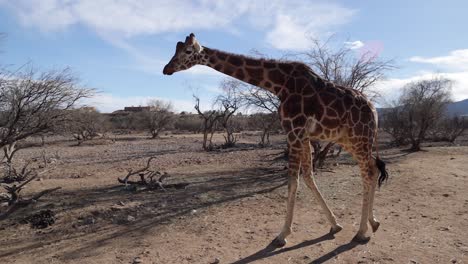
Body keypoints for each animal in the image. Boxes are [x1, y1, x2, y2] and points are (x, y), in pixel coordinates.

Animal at [163, 34, 390, 246]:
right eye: (176, 49)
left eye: (187, 52)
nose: (167, 69)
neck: (279, 84)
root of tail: (374, 112)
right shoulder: (303, 136)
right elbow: (308, 177)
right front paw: (335, 225)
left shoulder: (294, 132)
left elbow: (293, 182)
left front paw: (282, 235)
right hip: (350, 140)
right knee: (373, 167)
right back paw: (374, 223)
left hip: (359, 138)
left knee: (369, 173)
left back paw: (361, 232)